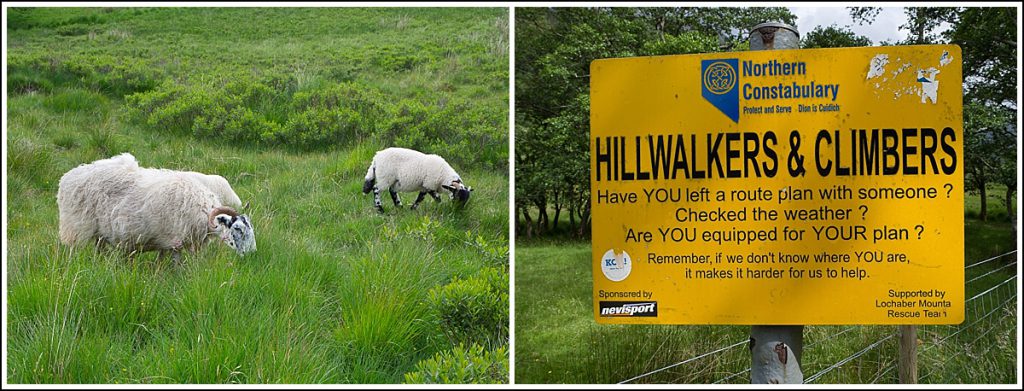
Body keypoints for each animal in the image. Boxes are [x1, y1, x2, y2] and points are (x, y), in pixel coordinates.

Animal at [56, 152, 256, 259]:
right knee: (72, 251)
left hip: (100, 233)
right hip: (75, 227)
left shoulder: (168, 244)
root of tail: (68, 176)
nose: (252, 254)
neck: (203, 212)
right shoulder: (173, 242)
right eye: (237, 229)